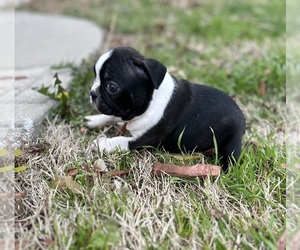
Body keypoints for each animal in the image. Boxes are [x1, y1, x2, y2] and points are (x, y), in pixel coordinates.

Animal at [85, 46, 245, 170]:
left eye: (111, 87)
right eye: (94, 76)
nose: (92, 93)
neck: (151, 100)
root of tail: (243, 119)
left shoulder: (144, 141)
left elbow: (121, 140)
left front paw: (103, 143)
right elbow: (112, 115)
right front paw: (94, 120)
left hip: (231, 143)